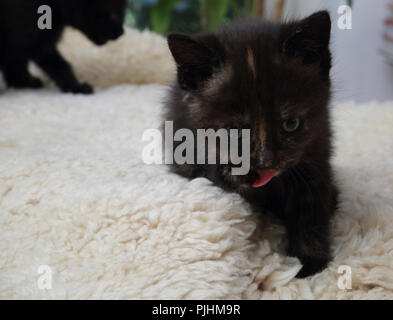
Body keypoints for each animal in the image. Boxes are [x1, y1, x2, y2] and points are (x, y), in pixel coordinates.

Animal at [164, 11, 338, 278]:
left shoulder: (317, 149)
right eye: (235, 130)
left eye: (291, 123)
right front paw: (234, 172)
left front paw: (310, 263)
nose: (267, 160)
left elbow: (311, 205)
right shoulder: (183, 146)